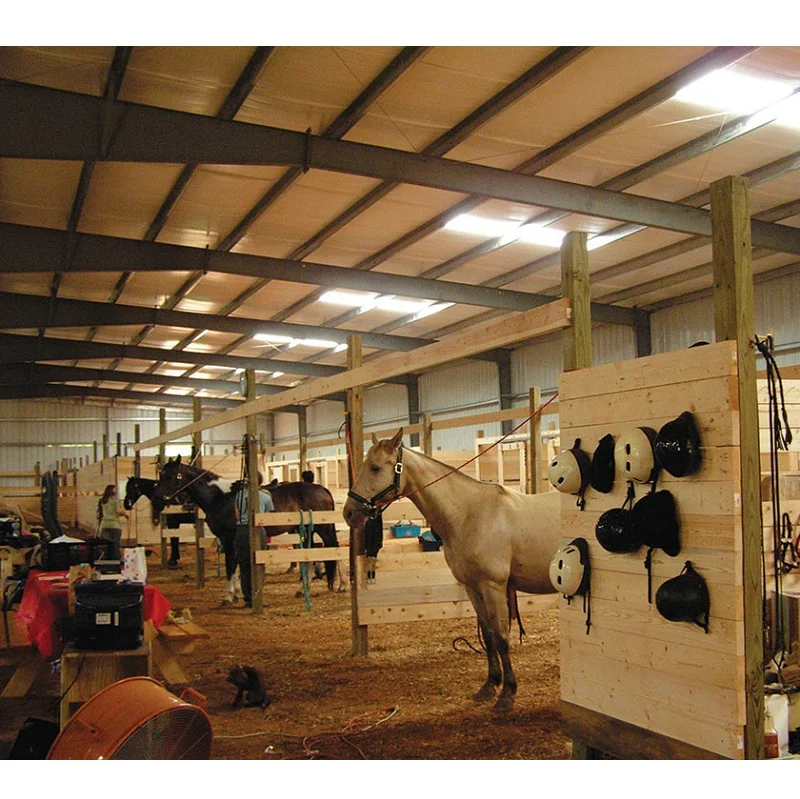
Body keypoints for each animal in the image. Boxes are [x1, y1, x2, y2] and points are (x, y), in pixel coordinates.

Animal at [151, 457, 345, 602]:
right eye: (161, 474)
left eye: (170, 476)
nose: (157, 499)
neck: (220, 497)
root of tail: (322, 489)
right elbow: (236, 565)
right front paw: (237, 592)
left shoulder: (228, 537)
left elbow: (230, 565)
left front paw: (229, 596)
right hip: (306, 530)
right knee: (313, 555)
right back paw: (304, 588)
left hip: (323, 528)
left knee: (334, 549)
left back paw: (341, 585)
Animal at [343, 428, 561, 714]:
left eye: (375, 467)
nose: (349, 512)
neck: (469, 513)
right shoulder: (472, 587)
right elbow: (488, 635)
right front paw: (489, 686)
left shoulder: (493, 586)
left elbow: (502, 636)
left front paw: (507, 695)